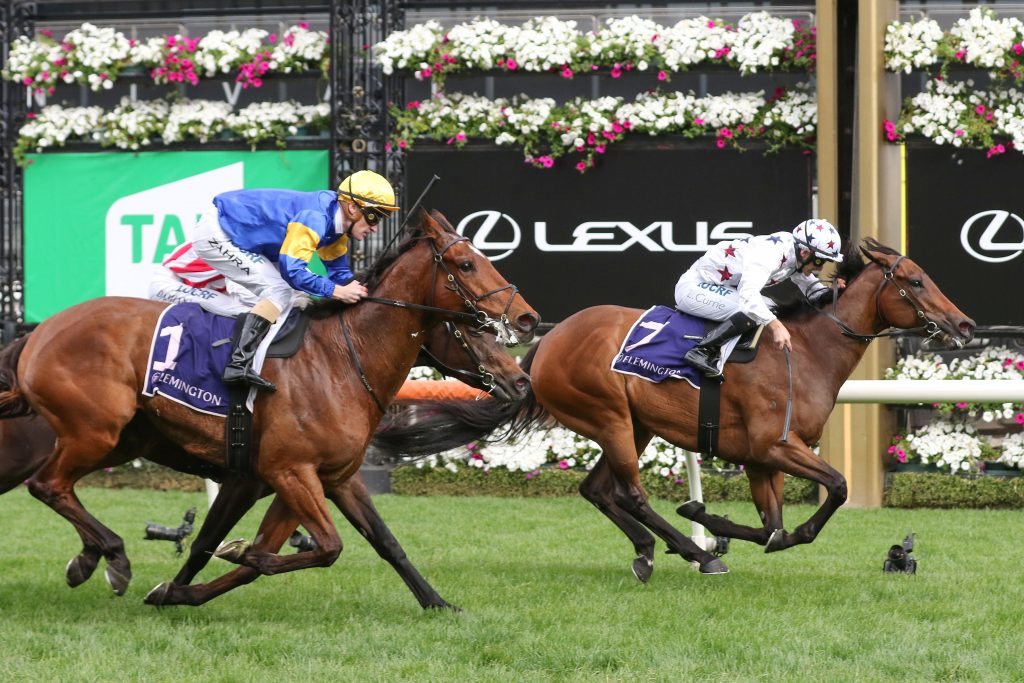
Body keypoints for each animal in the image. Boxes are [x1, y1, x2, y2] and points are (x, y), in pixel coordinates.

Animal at [0, 209, 539, 608]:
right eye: (466, 266)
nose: (527, 320)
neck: (341, 359)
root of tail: (37, 333)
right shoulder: (288, 471)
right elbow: (319, 548)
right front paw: (234, 556)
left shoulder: (327, 477)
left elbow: (382, 542)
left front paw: (438, 602)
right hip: (93, 432)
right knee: (49, 485)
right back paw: (113, 557)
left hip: (116, 440)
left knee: (59, 487)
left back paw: (90, 558)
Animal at [373, 238, 975, 581]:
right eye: (915, 280)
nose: (965, 324)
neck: (804, 353)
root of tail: (546, 341)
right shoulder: (775, 444)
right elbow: (834, 492)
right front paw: (704, 521)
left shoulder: (762, 458)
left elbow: (777, 529)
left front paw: (721, 523)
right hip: (610, 417)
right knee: (630, 493)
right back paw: (694, 551)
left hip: (632, 424)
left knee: (598, 490)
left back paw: (651, 550)